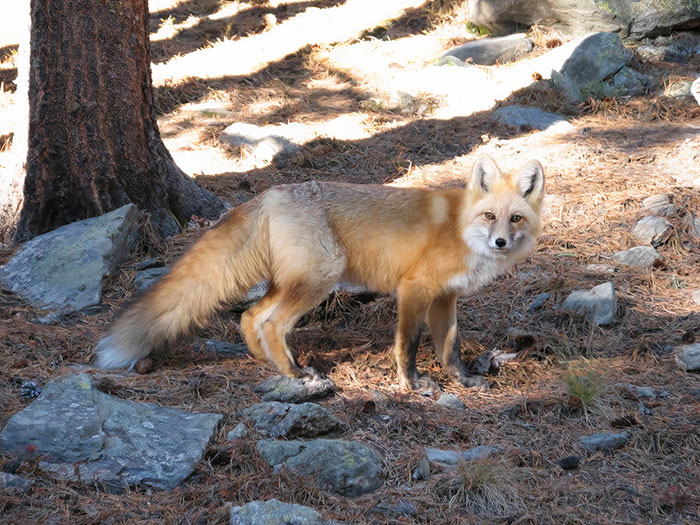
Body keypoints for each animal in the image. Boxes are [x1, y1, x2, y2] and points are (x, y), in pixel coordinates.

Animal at [95, 154, 544, 393]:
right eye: (489, 216)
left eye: (515, 219)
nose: (500, 243)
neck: (460, 229)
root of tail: (271, 193)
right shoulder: (413, 289)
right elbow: (409, 345)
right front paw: (412, 385)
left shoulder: (445, 298)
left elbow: (450, 345)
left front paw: (462, 380)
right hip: (320, 277)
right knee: (271, 322)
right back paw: (295, 372)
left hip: (294, 281)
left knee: (250, 316)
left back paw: (273, 365)